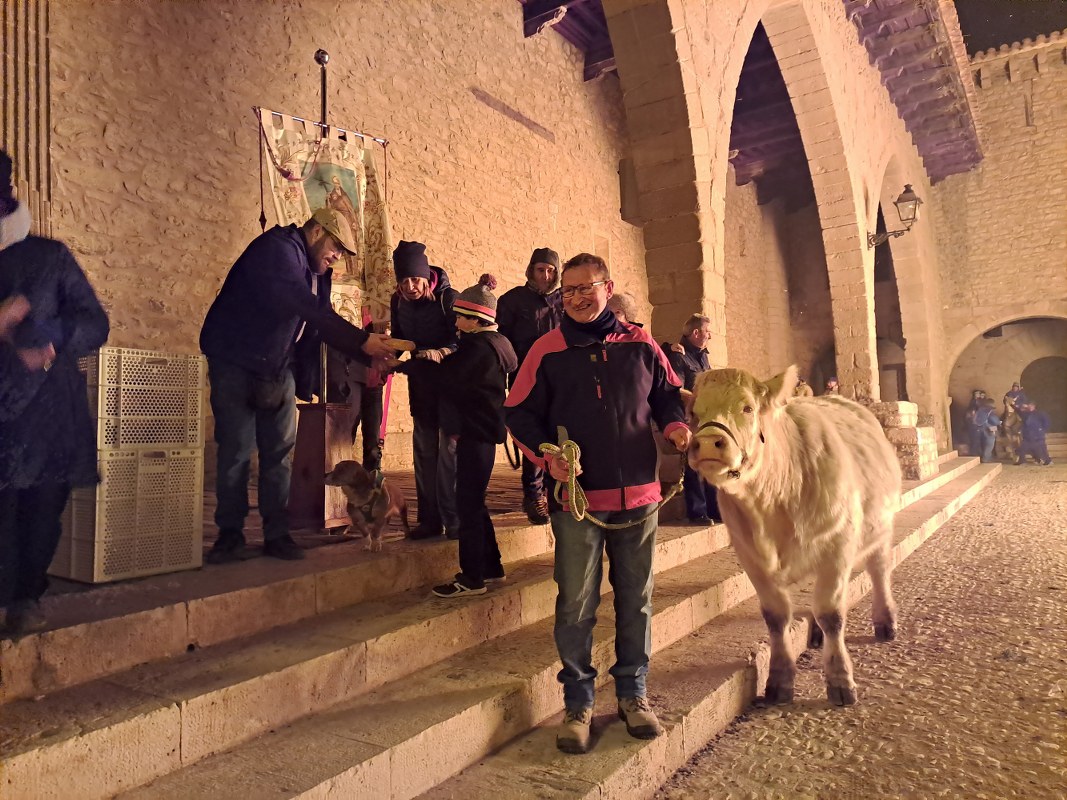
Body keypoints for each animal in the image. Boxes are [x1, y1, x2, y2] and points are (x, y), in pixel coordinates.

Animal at [686, 365, 901, 706]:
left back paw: (885, 622)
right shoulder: (751, 557)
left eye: (747, 408)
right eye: (694, 412)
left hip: (881, 526)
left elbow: (832, 614)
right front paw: (779, 680)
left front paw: (841, 680)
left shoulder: (837, 545)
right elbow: (776, 617)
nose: (707, 442)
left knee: (879, 570)